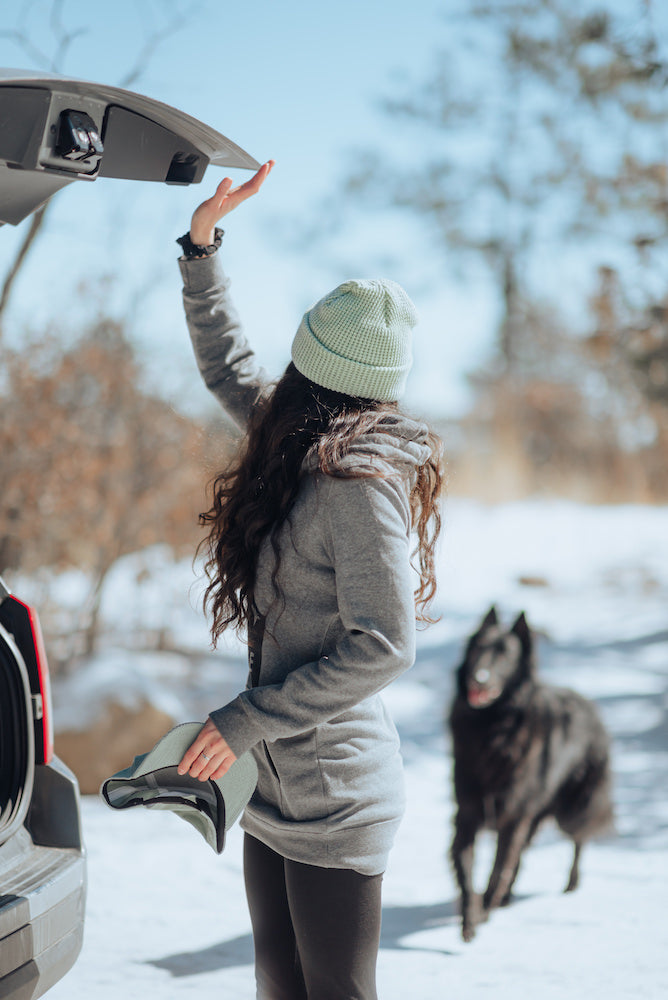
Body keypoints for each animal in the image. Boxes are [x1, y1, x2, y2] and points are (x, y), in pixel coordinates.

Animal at [446, 604, 612, 940]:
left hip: (573, 808)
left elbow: (498, 868)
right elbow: (468, 868)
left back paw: (571, 883)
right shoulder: (469, 812)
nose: (478, 679)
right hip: (535, 813)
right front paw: (470, 919)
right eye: (478, 648)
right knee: (522, 855)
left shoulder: (512, 815)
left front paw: (485, 910)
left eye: (505, 656)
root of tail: (590, 704)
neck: (494, 728)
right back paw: (507, 898)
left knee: (579, 839)